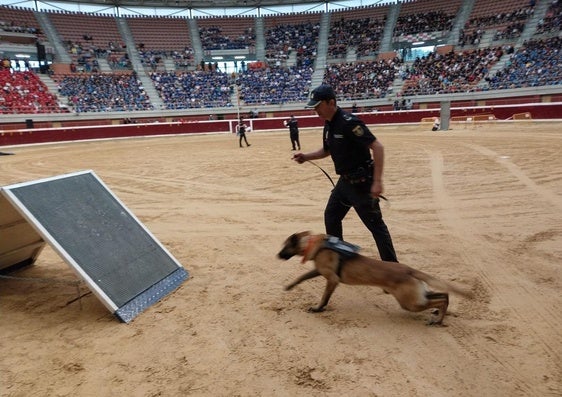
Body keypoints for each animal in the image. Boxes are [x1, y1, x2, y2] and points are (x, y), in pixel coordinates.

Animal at [278, 230, 470, 324]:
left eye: (285, 246)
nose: (277, 255)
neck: (314, 245)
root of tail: (409, 270)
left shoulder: (332, 279)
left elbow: (325, 297)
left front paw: (318, 308)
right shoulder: (319, 270)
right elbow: (302, 277)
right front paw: (289, 286)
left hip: (410, 303)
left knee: (441, 299)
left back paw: (437, 320)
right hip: (418, 297)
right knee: (444, 295)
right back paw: (438, 316)